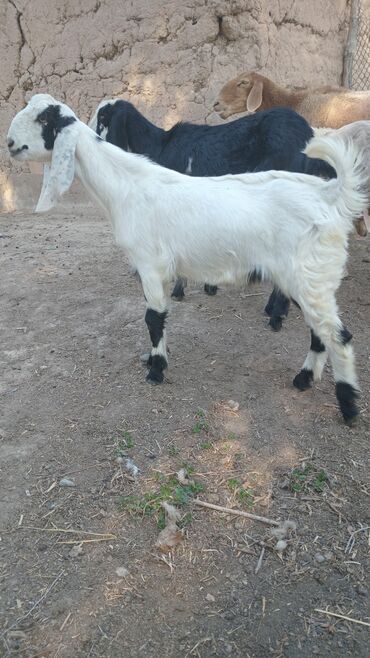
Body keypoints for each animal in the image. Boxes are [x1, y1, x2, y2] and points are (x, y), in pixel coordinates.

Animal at [89, 98, 336, 328]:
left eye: (103, 118)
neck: (160, 146)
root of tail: (307, 136)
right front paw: (209, 285)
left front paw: (179, 289)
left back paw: (276, 316)